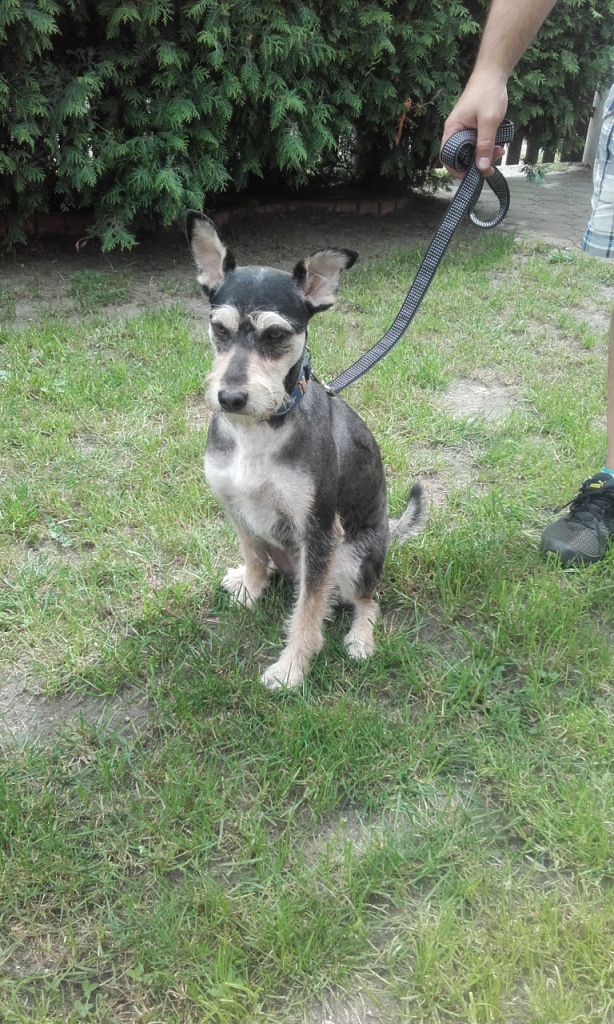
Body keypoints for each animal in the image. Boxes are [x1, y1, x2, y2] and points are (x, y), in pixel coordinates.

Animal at [187, 211, 424, 690]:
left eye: (276, 334)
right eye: (219, 329)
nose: (230, 398)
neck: (259, 431)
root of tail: (389, 533)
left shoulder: (319, 533)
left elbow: (309, 611)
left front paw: (292, 667)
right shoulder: (236, 505)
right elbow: (253, 554)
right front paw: (250, 588)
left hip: (352, 557)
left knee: (366, 601)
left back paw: (360, 639)